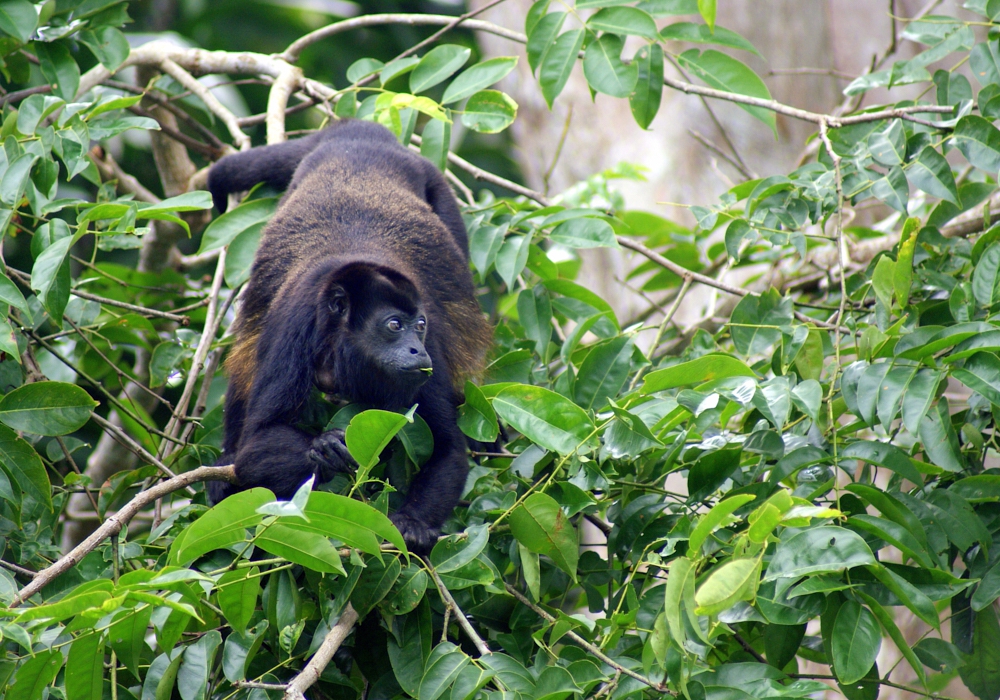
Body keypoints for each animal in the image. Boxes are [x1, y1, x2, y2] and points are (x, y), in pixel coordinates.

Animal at [206, 121, 492, 556]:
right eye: (394, 325)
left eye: (420, 325)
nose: (416, 349)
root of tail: (359, 134)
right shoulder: (294, 324)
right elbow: (257, 444)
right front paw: (323, 448)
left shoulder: (432, 356)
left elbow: (447, 450)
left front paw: (412, 525)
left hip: (437, 186)